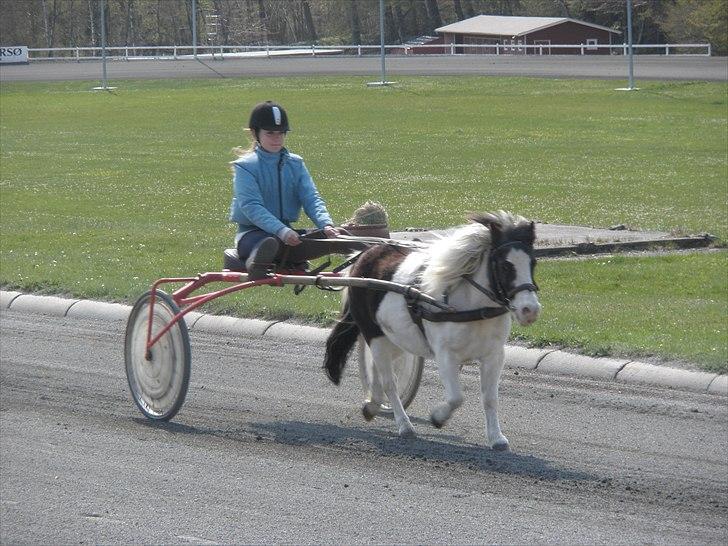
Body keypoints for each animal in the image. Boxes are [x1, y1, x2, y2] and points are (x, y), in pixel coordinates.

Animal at [324, 210, 540, 448]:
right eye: (505, 265)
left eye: (533, 262)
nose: (530, 309)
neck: (472, 307)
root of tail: (364, 254)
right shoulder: (445, 355)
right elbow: (456, 398)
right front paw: (438, 417)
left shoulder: (494, 355)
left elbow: (490, 398)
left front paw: (496, 438)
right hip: (375, 334)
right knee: (389, 382)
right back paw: (404, 425)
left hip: (396, 338)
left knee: (377, 370)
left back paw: (373, 404)